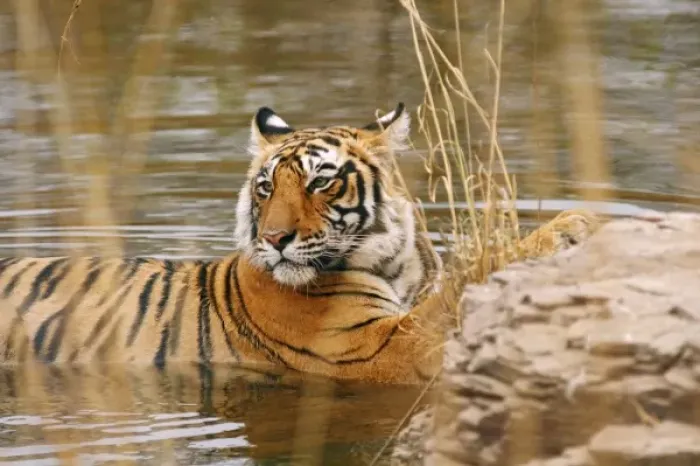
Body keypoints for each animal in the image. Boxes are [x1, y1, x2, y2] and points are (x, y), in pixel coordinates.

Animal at [0, 103, 598, 385]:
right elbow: (467, 286)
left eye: (319, 182)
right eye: (266, 187)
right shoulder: (383, 348)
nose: (273, 239)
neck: (395, 262)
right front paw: (570, 226)